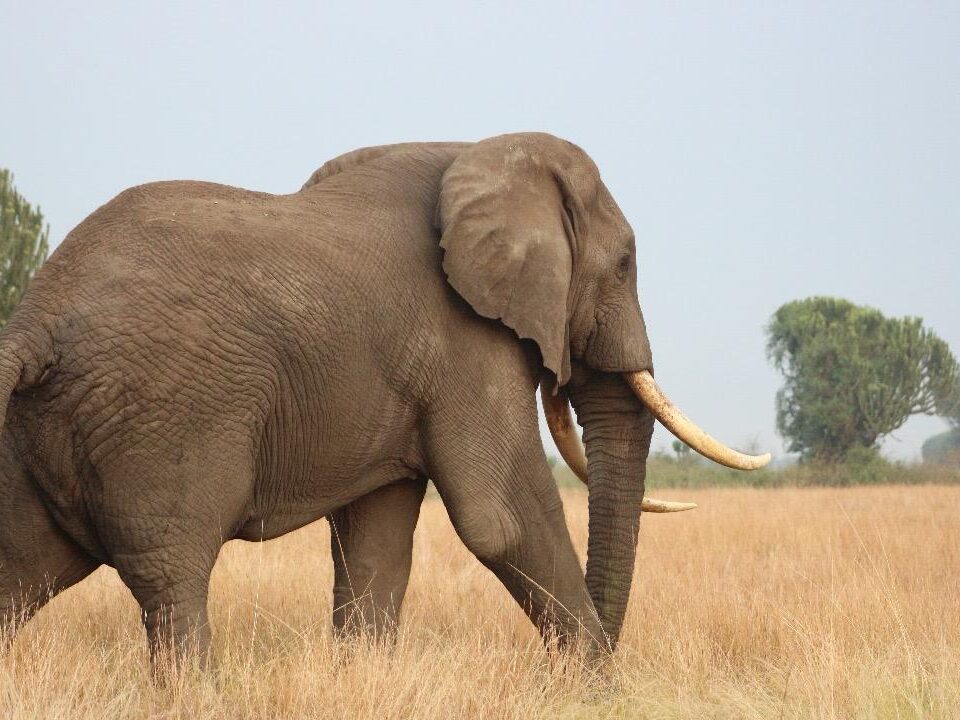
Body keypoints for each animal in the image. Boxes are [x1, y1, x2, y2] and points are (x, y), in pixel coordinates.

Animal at [0, 132, 764, 668]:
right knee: (172, 581)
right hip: (161, 418)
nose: (600, 666)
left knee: (23, 567)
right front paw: (600, 686)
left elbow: (376, 538)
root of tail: (36, 315)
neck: (483, 150)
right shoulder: (463, 340)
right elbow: (501, 518)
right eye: (626, 264)